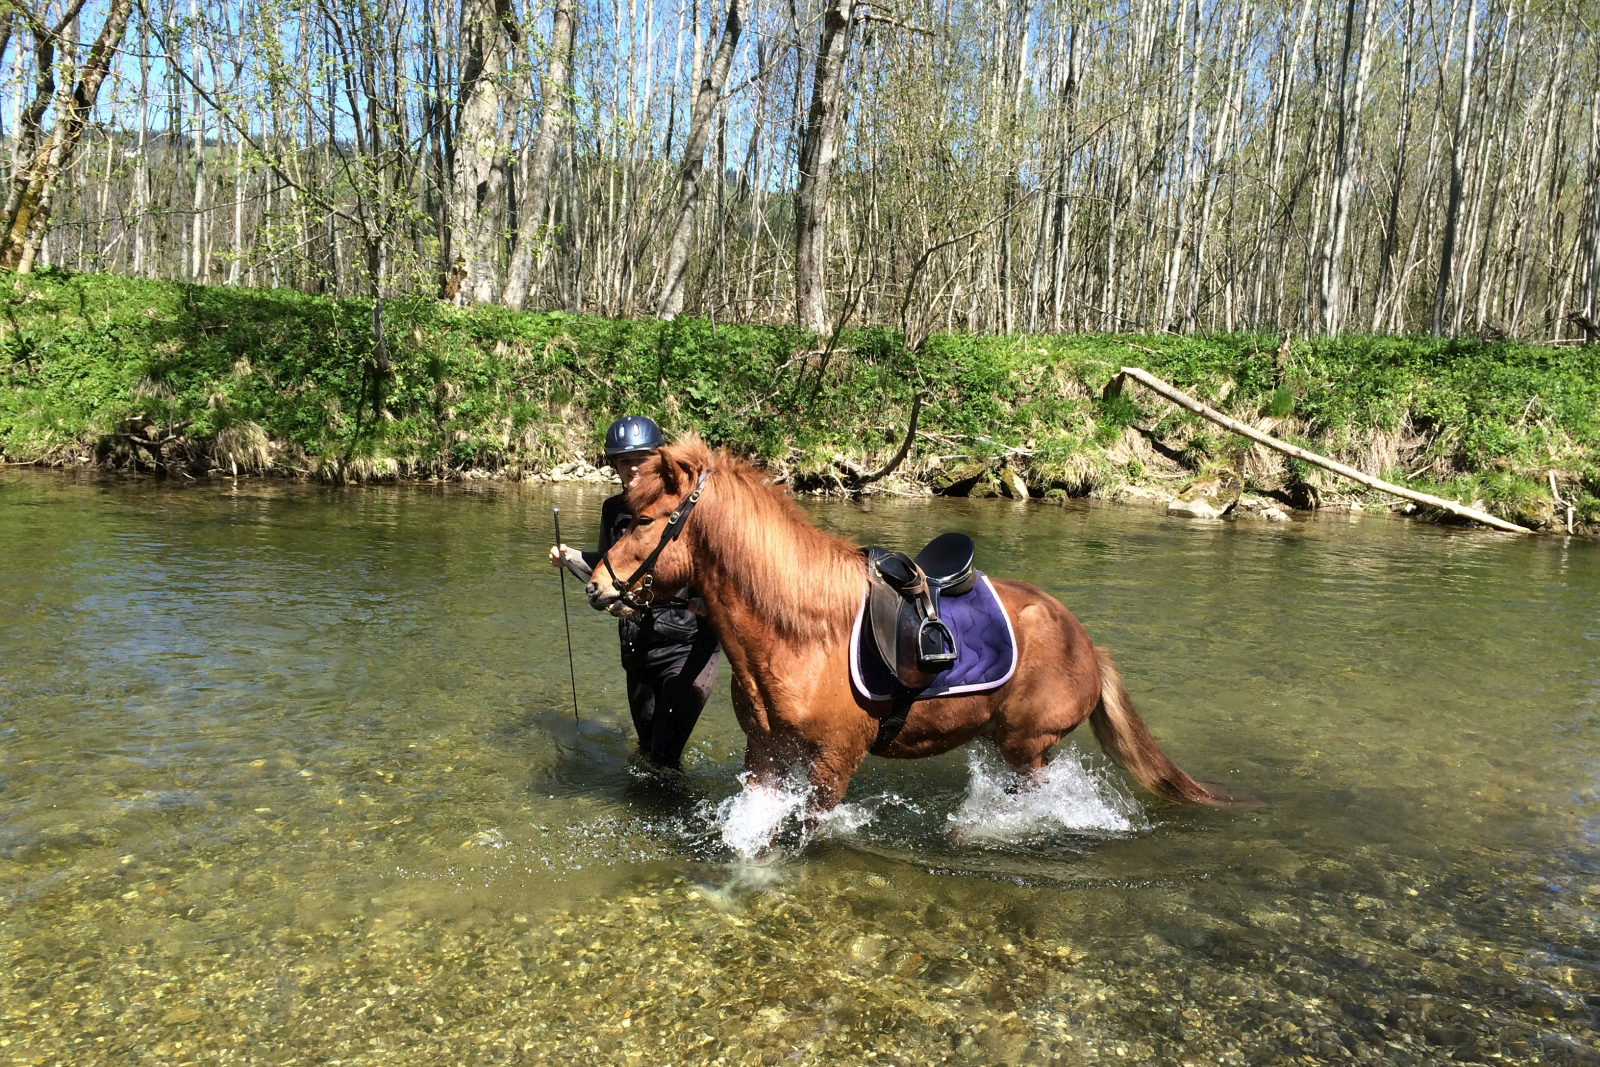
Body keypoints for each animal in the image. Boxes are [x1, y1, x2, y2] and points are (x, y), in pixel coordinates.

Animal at [592, 435, 1235, 819]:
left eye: (645, 520)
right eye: (624, 513)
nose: (598, 584)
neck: (800, 634)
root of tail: (1087, 645)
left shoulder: (834, 763)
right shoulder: (766, 754)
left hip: (1028, 749)